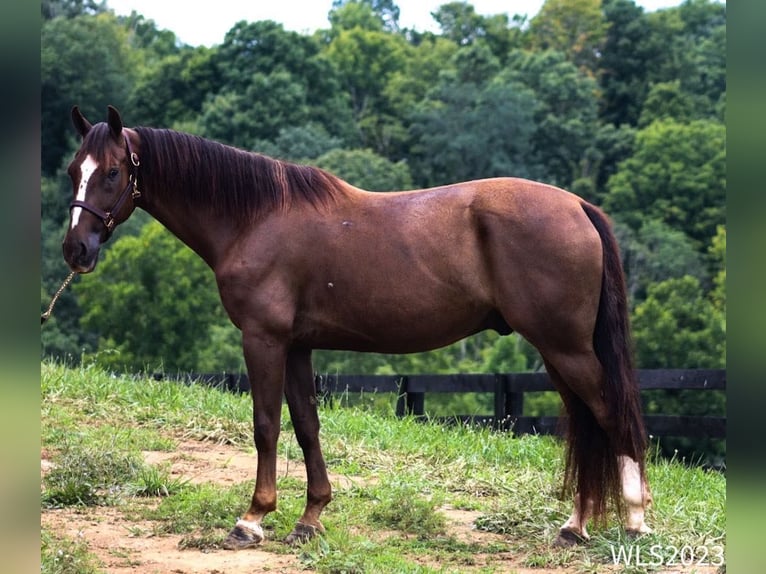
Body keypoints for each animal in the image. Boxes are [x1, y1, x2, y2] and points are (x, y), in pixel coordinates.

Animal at [63, 106, 656, 552]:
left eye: (112, 172)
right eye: (73, 170)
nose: (76, 250)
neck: (255, 218)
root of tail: (577, 205)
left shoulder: (264, 340)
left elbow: (265, 425)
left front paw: (252, 519)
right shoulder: (298, 346)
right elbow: (306, 425)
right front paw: (310, 518)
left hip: (565, 347)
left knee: (609, 414)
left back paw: (634, 520)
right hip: (558, 352)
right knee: (586, 424)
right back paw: (575, 527)